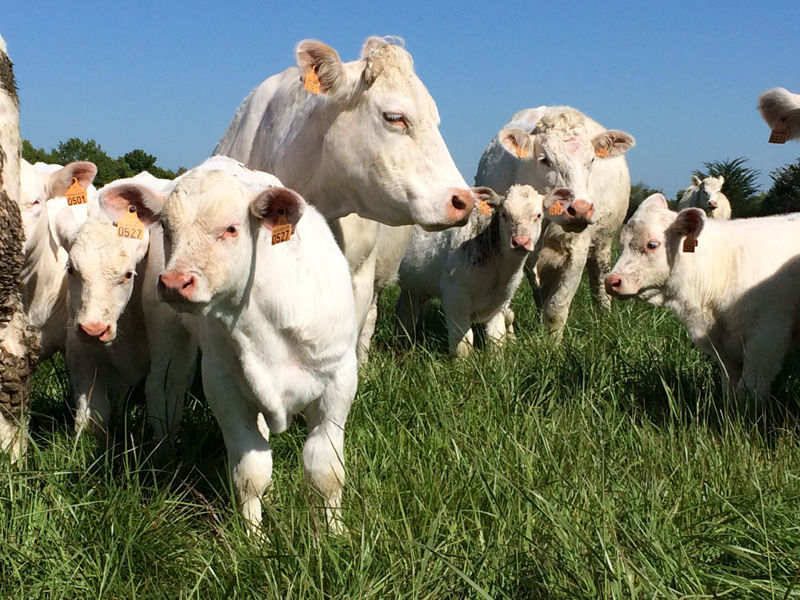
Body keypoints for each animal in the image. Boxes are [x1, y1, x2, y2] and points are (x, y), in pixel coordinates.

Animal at [135, 161, 360, 536]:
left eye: (231, 228)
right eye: (166, 227)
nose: (175, 283)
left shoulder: (339, 382)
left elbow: (325, 471)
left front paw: (335, 533)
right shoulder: (222, 386)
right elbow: (250, 471)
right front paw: (254, 538)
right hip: (167, 331)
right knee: (165, 388)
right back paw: (164, 456)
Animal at [396, 186, 548, 356]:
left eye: (539, 215)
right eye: (504, 214)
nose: (520, 242)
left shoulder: (501, 302)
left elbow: (497, 340)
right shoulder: (455, 298)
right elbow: (464, 342)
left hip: (414, 285)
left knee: (405, 313)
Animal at [476, 105, 636, 336]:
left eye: (591, 161)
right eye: (545, 160)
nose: (580, 209)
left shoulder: (576, 253)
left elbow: (556, 309)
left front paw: (550, 342)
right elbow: (503, 310)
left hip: (604, 242)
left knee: (599, 280)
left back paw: (604, 317)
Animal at [608, 195, 800, 406]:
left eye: (652, 244)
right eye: (621, 245)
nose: (611, 281)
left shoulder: (766, 339)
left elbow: (749, 391)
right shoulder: (723, 350)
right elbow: (730, 390)